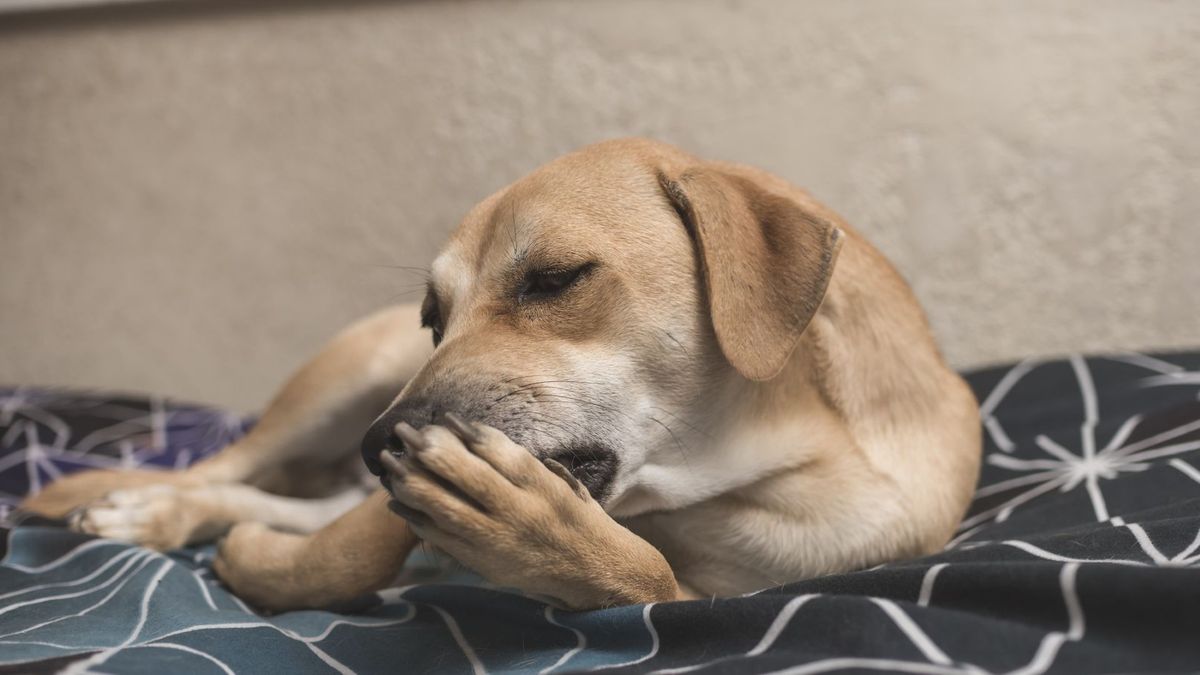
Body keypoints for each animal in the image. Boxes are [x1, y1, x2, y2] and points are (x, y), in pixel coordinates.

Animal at [23, 136, 979, 610]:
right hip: (341, 379)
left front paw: (543, 539)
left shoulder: (711, 592)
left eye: (553, 279)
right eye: (433, 317)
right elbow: (345, 551)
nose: (379, 445)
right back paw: (126, 502)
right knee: (220, 468)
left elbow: (644, 575)